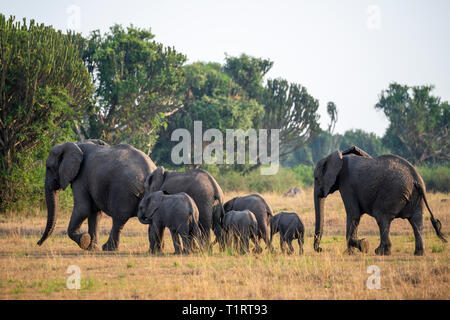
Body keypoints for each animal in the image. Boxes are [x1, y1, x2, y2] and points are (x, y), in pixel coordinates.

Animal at [312, 146, 446, 256]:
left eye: (316, 178)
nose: (320, 249)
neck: (338, 156)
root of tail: (416, 179)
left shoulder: (346, 183)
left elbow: (353, 214)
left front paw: (362, 246)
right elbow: (355, 215)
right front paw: (352, 251)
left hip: (392, 193)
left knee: (382, 217)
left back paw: (381, 252)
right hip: (416, 196)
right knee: (416, 220)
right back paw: (418, 253)